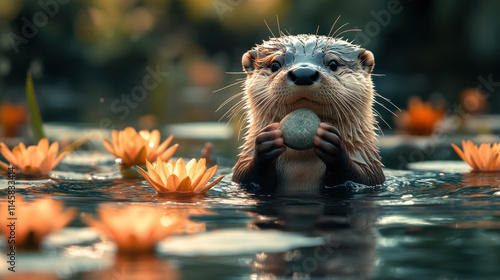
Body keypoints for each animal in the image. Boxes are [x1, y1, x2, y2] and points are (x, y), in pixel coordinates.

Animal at [232, 34, 384, 194]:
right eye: (274, 65)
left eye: (333, 64)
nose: (303, 74)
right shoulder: (243, 171)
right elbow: (247, 176)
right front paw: (266, 141)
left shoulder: (370, 169)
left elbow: (358, 178)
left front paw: (333, 143)